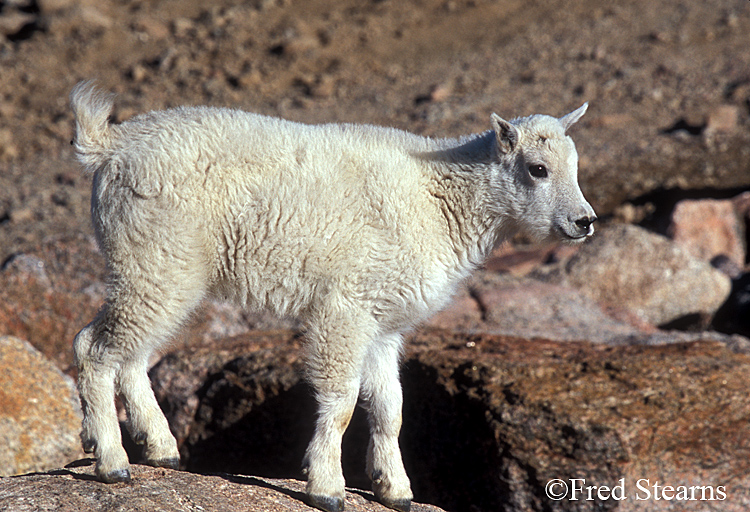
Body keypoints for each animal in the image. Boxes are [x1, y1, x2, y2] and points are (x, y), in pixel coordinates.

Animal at [72, 81, 600, 512]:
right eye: (537, 168)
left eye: (575, 166)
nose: (585, 222)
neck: (440, 200)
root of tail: (108, 147)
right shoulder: (346, 308)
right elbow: (343, 400)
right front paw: (326, 488)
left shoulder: (384, 324)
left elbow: (390, 408)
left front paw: (395, 490)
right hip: (156, 261)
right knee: (96, 348)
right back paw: (112, 462)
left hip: (161, 272)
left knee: (129, 353)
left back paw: (161, 449)